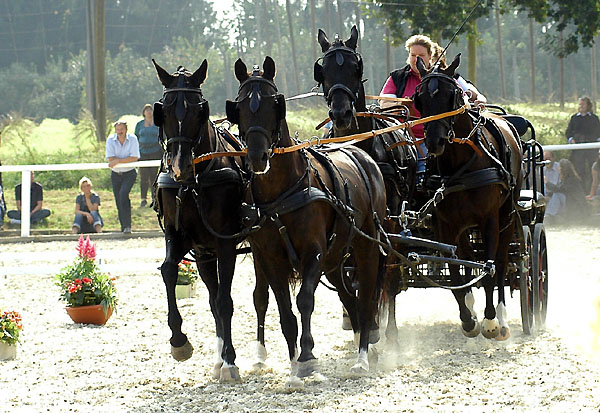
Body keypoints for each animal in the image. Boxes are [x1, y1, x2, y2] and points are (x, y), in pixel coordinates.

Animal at [152, 60, 246, 380]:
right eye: (164, 111)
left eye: (198, 110)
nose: (180, 167)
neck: (193, 183)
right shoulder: (181, 237)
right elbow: (169, 270)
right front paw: (179, 341)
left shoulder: (225, 242)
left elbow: (225, 301)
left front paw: (230, 362)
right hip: (205, 254)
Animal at [226, 56, 390, 382]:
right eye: (239, 106)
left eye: (273, 103)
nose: (257, 156)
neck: (282, 194)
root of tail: (362, 156)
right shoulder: (271, 258)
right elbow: (285, 311)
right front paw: (293, 366)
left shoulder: (313, 252)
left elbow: (305, 300)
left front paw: (308, 356)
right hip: (336, 258)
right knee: (348, 296)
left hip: (366, 246)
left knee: (366, 296)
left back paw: (363, 356)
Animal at [414, 54, 524, 338]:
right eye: (419, 98)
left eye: (452, 95)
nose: (435, 142)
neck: (460, 166)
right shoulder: (445, 225)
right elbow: (456, 272)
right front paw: (468, 319)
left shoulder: (489, 220)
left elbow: (489, 268)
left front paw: (490, 321)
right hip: (463, 227)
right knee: (469, 260)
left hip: (507, 217)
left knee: (500, 262)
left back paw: (501, 318)